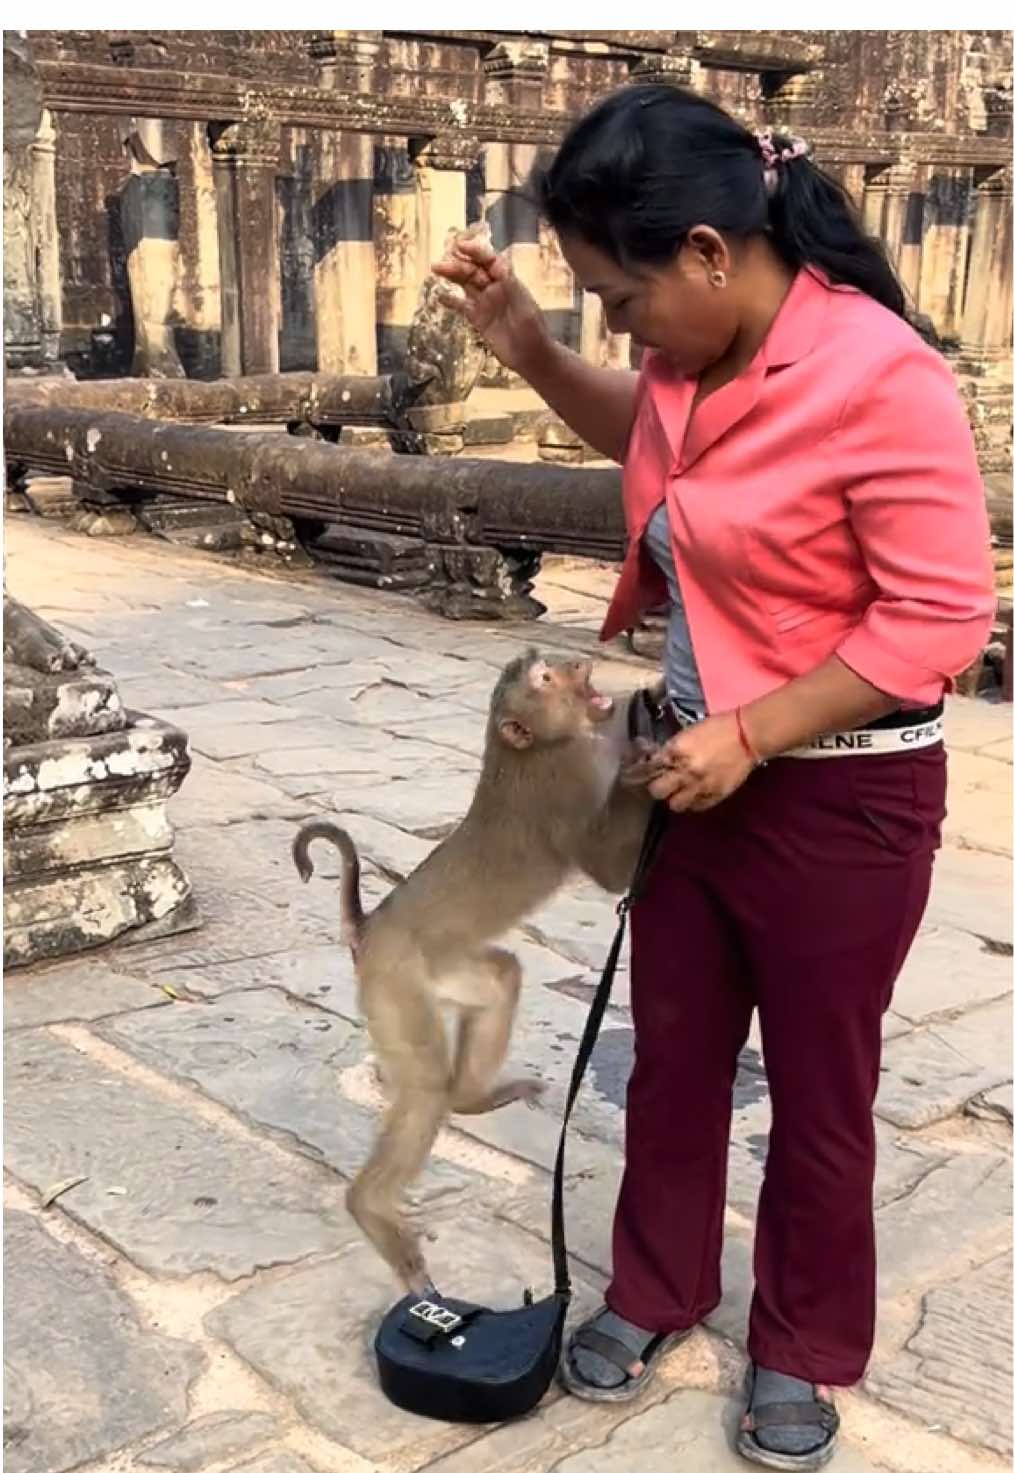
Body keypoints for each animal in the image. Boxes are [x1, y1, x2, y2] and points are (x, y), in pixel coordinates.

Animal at [293, 651, 657, 1296]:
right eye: (545, 680)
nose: (579, 663)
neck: (543, 745)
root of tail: (370, 927)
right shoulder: (564, 786)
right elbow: (611, 872)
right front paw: (643, 767)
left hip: (442, 966)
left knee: (502, 978)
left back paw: (472, 1100)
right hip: (395, 986)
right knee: (425, 1089)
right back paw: (372, 1210)